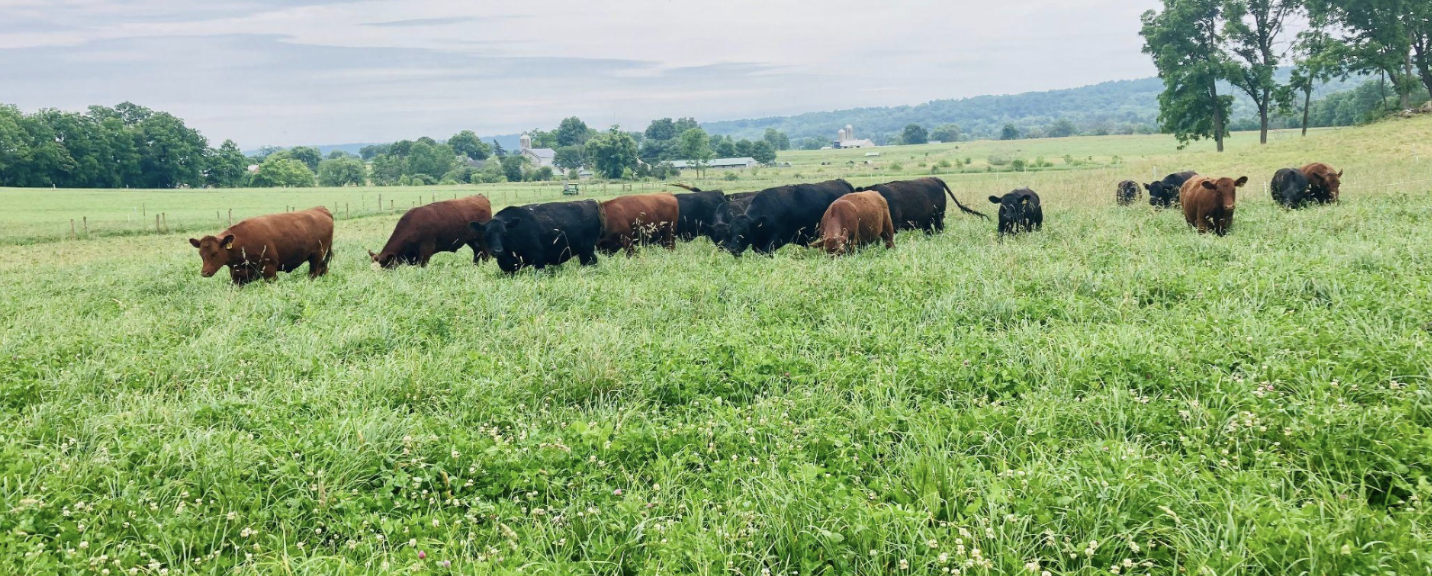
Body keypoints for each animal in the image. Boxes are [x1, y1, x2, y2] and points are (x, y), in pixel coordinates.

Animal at [187, 207, 335, 286]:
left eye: (215, 253)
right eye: (201, 255)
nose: (204, 272)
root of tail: (320, 209)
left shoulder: (270, 270)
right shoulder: (236, 277)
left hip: (316, 257)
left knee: (314, 273)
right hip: (320, 259)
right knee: (324, 269)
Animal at [472, 199, 601, 273]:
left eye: (504, 234)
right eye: (487, 234)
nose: (497, 251)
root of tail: (589, 201)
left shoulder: (538, 258)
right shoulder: (508, 266)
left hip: (588, 249)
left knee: (593, 261)